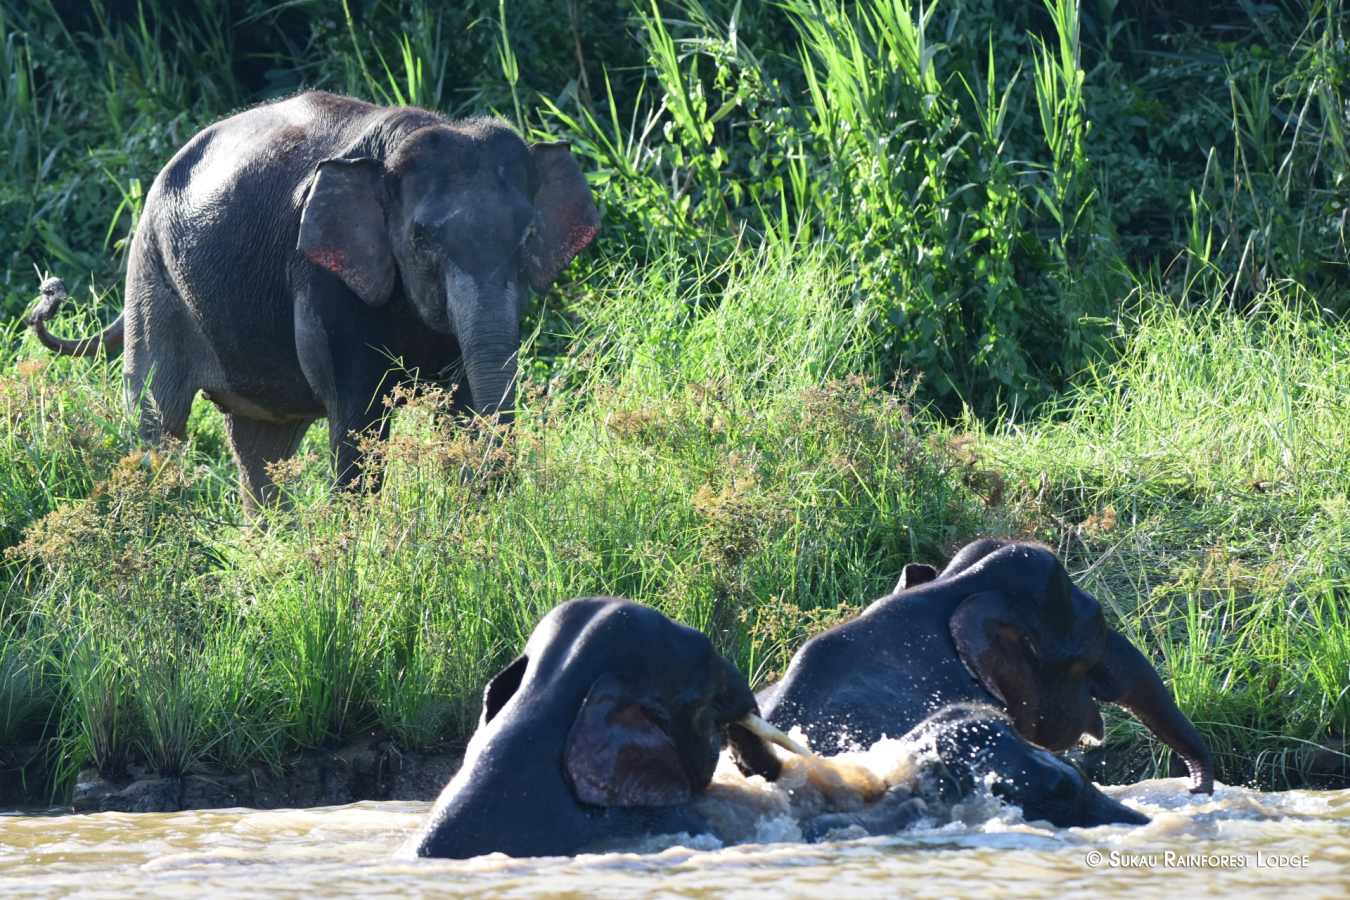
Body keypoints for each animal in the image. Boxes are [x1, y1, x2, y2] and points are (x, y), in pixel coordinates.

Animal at [29, 91, 598, 510]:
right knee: (159, 423)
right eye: (422, 239)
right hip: (152, 278)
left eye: (528, 237)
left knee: (261, 445)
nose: (49, 290)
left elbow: (461, 402)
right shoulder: (322, 279)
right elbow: (358, 413)